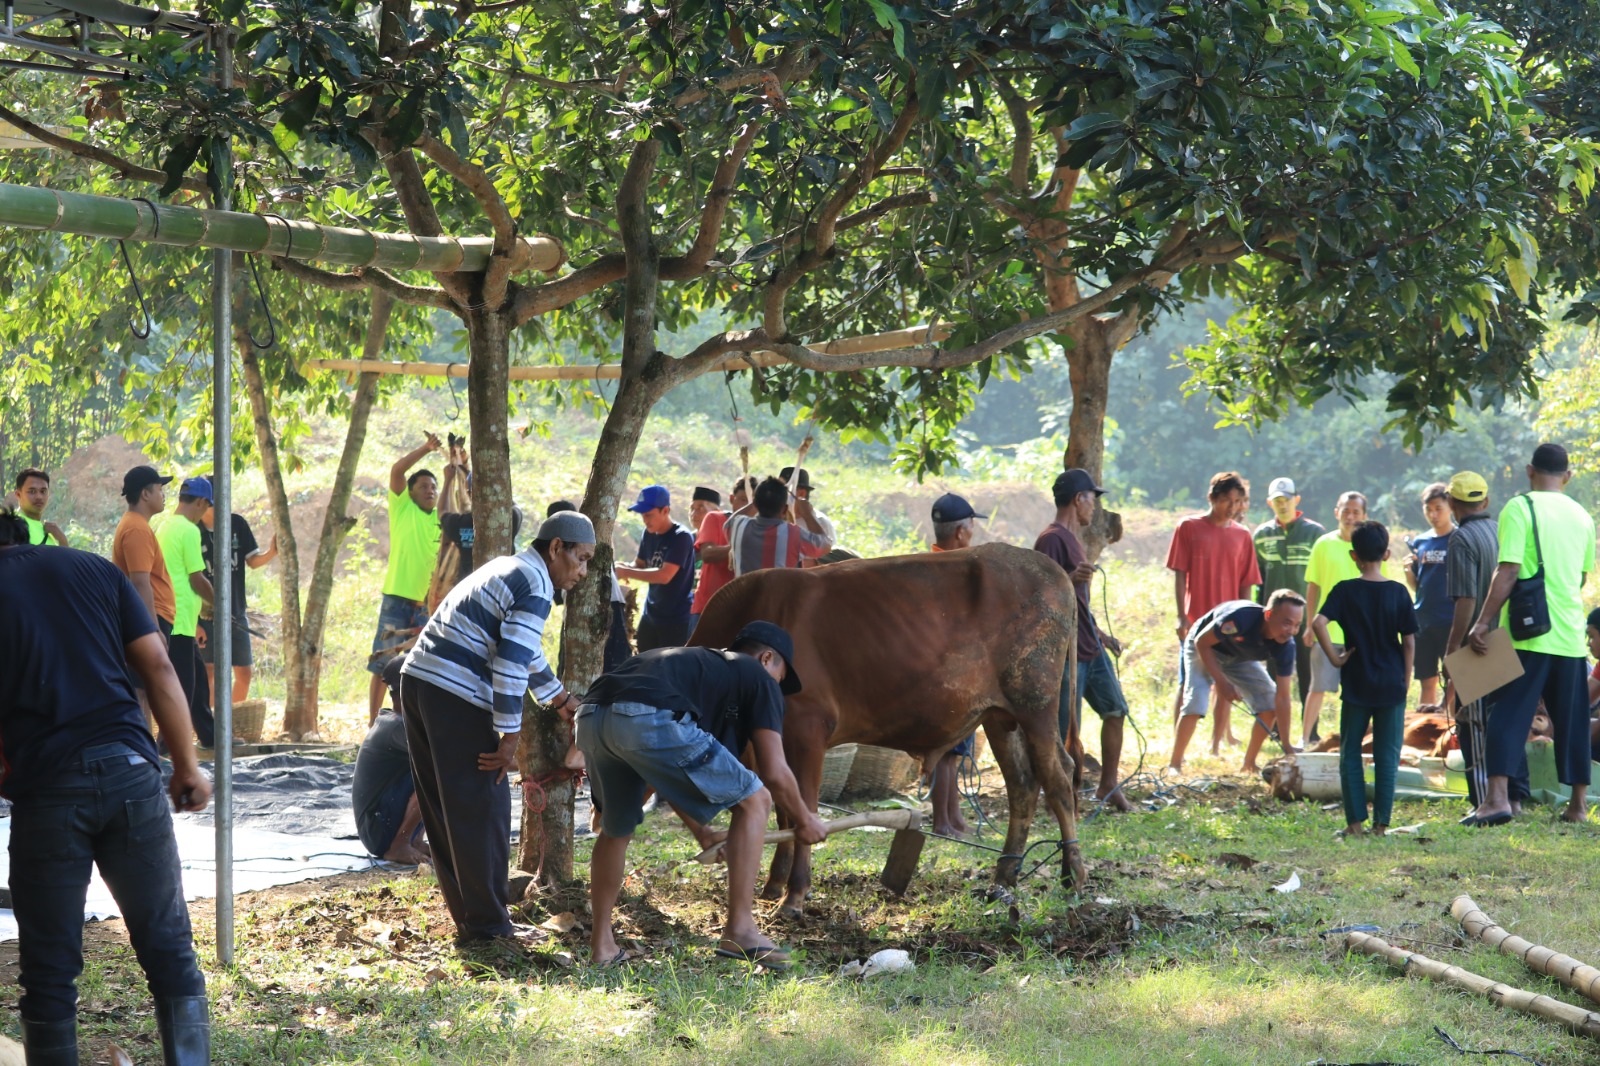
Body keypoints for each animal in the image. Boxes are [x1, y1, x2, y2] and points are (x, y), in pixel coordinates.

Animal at [688, 544, 1088, 909]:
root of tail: (1050, 567)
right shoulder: (771, 740)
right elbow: (785, 808)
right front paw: (775, 884)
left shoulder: (808, 728)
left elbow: (805, 807)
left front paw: (795, 893)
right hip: (1000, 718)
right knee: (1023, 784)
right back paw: (1004, 879)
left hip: (1035, 702)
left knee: (1058, 778)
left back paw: (1075, 877)